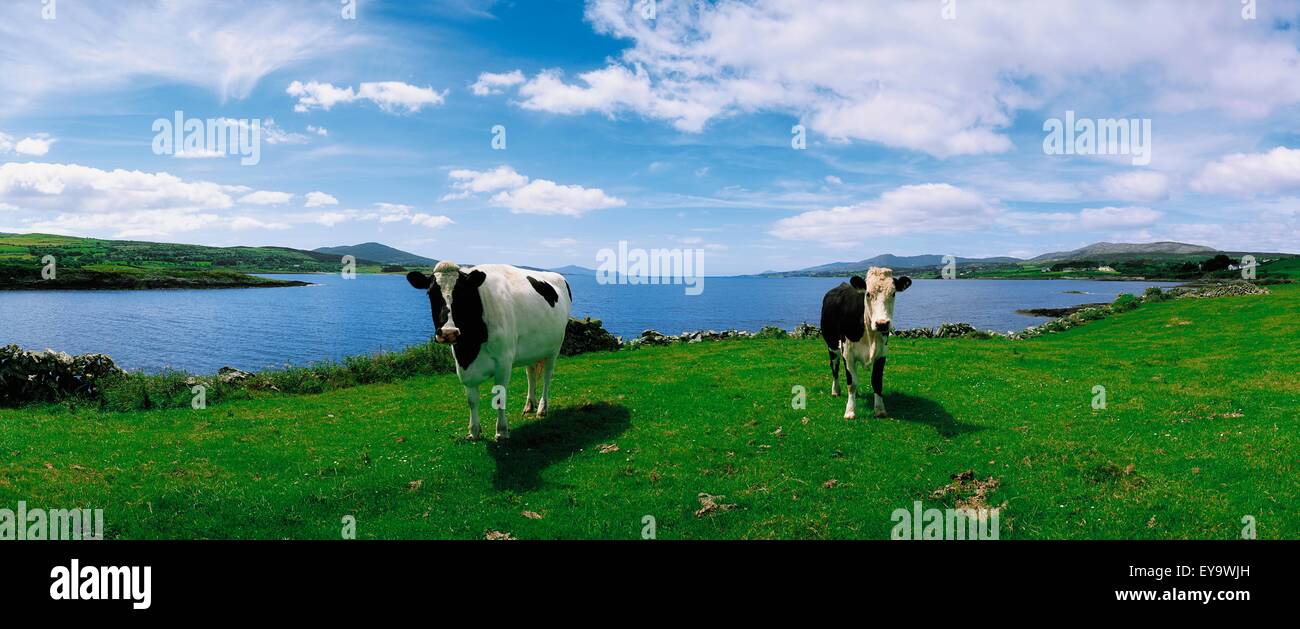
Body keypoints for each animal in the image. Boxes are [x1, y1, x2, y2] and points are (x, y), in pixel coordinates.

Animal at [406, 261, 572, 441]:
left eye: (463, 293)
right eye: (430, 293)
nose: (448, 332)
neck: (470, 348)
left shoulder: (504, 362)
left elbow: (500, 398)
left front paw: (501, 431)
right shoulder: (462, 365)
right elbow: (471, 400)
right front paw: (473, 431)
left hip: (555, 347)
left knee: (548, 376)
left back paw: (542, 408)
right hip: (532, 349)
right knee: (531, 373)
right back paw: (529, 405)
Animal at [820, 267, 912, 419]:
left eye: (893, 293)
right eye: (868, 294)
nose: (882, 324)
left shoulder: (882, 352)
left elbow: (876, 381)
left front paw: (879, 409)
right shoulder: (847, 353)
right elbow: (851, 382)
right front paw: (850, 411)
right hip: (832, 346)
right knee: (834, 367)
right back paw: (836, 390)